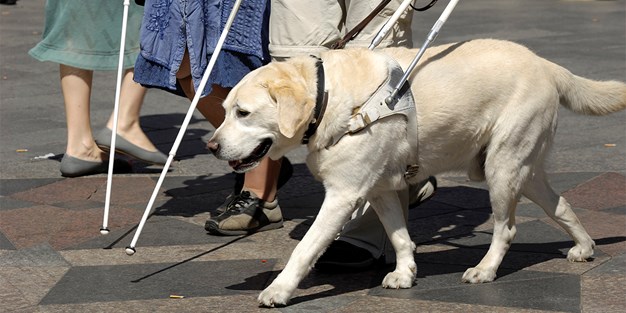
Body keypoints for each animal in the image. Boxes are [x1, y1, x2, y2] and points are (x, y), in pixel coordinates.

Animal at [206, 38, 624, 304]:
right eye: (224, 110)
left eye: (243, 112)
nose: (211, 146)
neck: (331, 98)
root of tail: (546, 64)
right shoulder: (379, 189)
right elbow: (400, 236)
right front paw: (406, 273)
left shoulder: (343, 195)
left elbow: (304, 248)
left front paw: (279, 290)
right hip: (524, 169)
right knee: (561, 204)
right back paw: (584, 247)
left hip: (502, 168)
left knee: (506, 229)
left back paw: (485, 269)